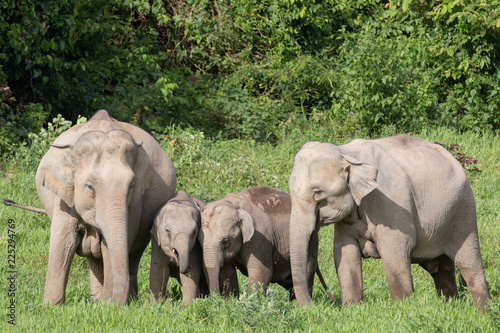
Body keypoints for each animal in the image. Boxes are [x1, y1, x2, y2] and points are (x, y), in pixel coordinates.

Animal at [35, 109, 177, 304]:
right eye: (89, 187)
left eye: (131, 185)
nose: (115, 303)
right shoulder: (64, 198)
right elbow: (64, 241)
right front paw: (51, 306)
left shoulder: (135, 203)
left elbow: (110, 247)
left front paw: (108, 305)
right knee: (92, 257)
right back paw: (97, 299)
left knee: (133, 253)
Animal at [288, 133, 490, 312]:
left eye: (317, 193)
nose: (315, 306)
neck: (346, 152)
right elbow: (344, 254)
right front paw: (352, 310)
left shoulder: (389, 203)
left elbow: (395, 253)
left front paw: (403, 310)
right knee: (442, 271)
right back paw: (452, 308)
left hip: (464, 211)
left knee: (469, 264)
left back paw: (484, 314)